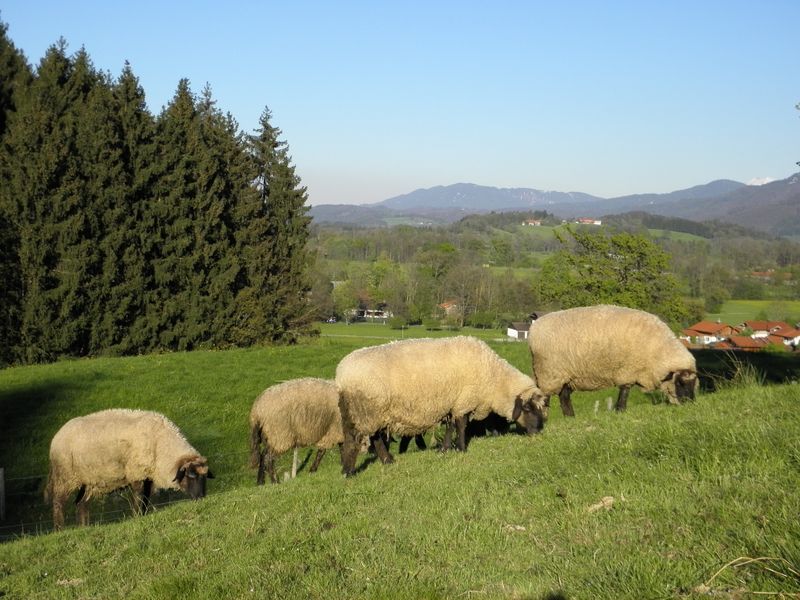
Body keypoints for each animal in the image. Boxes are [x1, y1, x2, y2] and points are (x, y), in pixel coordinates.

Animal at [44, 408, 212, 528]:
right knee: (58, 502)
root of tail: (56, 438)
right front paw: (137, 516)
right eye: (191, 476)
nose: (201, 498)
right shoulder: (136, 472)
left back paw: (84, 528)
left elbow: (146, 497)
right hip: (65, 475)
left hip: (90, 479)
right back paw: (59, 529)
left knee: (81, 504)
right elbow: (138, 496)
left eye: (204, 477)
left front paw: (143, 514)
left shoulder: (148, 475)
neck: (161, 446)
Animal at [334, 336, 548, 476]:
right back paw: (348, 471)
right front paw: (461, 448)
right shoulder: (463, 400)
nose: (538, 431)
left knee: (374, 437)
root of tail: (341, 376)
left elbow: (450, 426)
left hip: (369, 413)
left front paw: (444, 449)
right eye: (527, 408)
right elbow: (461, 425)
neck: (494, 380)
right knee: (354, 440)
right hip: (363, 410)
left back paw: (387, 461)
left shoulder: (451, 402)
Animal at [528, 304, 696, 418]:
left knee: (564, 396)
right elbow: (624, 391)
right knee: (546, 397)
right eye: (680, 383)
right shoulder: (628, 370)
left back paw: (570, 417)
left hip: (564, 375)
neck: (657, 352)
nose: (691, 404)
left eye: (694, 383)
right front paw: (620, 411)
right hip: (549, 372)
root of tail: (534, 330)